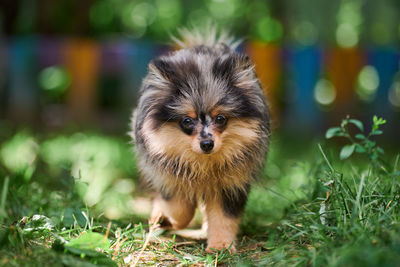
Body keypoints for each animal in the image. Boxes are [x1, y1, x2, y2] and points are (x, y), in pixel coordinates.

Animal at [130, 26, 270, 253]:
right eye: (187, 121)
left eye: (220, 118)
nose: (207, 144)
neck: (204, 163)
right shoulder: (171, 178)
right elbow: (179, 209)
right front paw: (168, 220)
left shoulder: (230, 185)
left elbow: (223, 218)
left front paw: (221, 246)